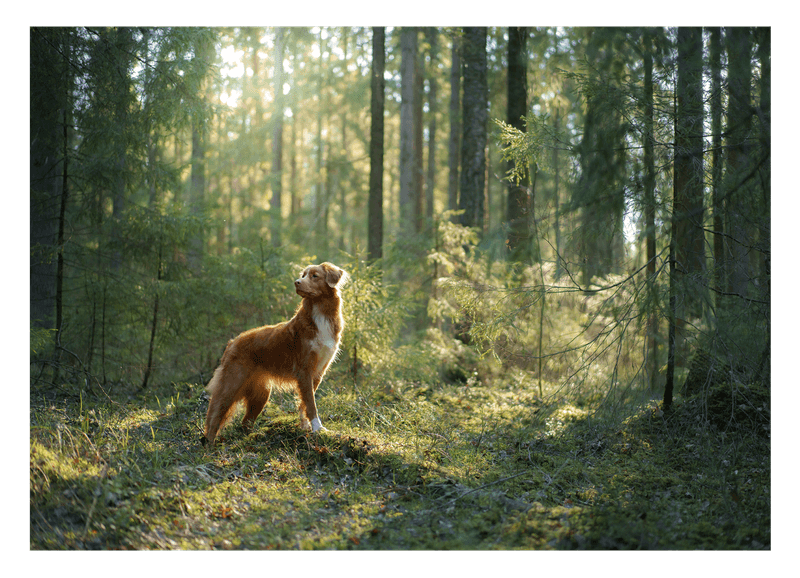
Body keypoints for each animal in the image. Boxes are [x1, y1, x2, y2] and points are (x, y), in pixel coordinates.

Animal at [200, 262, 346, 446]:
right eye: (303, 275)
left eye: (314, 276)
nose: (297, 282)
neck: (320, 312)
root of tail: (232, 342)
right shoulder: (305, 370)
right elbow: (311, 403)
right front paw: (317, 428)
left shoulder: (318, 372)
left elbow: (305, 402)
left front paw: (306, 426)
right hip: (231, 386)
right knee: (214, 415)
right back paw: (210, 444)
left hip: (261, 394)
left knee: (245, 422)